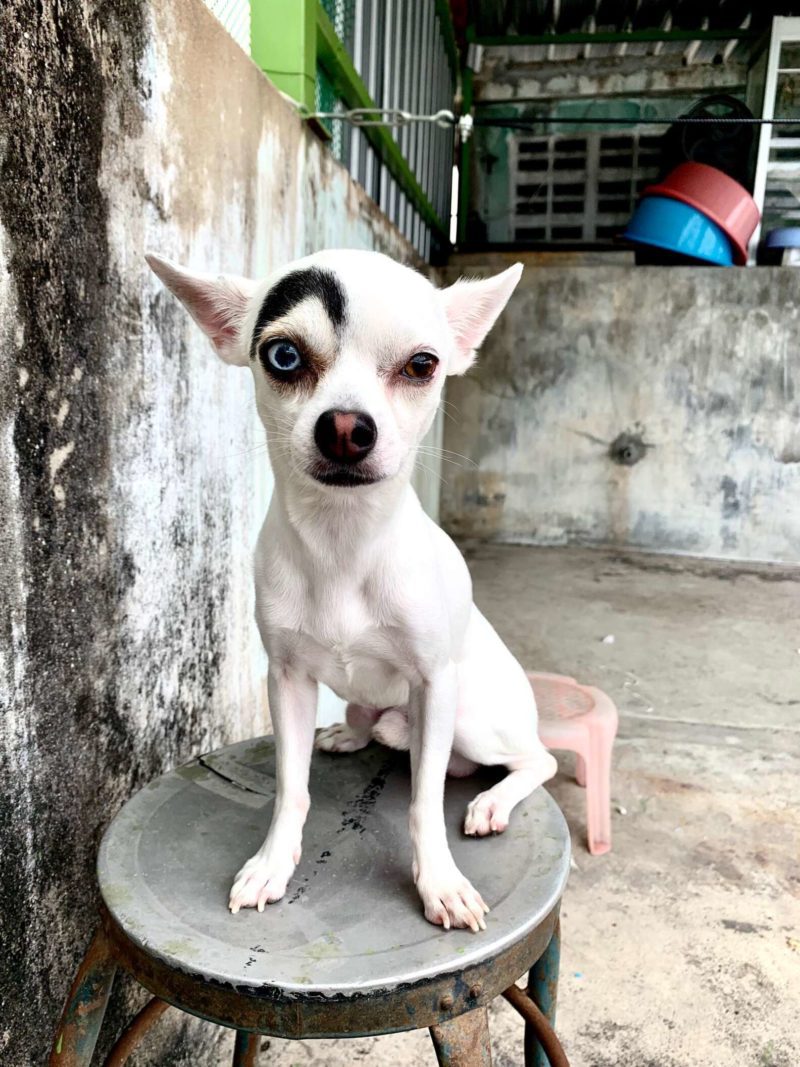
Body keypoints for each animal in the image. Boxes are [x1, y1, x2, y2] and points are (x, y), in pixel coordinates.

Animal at [147, 249, 554, 934]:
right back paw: (352, 733)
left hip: (472, 717)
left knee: (533, 760)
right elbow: (292, 787)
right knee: (390, 734)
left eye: (422, 365)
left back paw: (492, 801)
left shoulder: (433, 685)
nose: (344, 427)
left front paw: (439, 882)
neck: (343, 540)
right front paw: (272, 863)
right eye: (283, 356)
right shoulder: (286, 680)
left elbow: (424, 800)